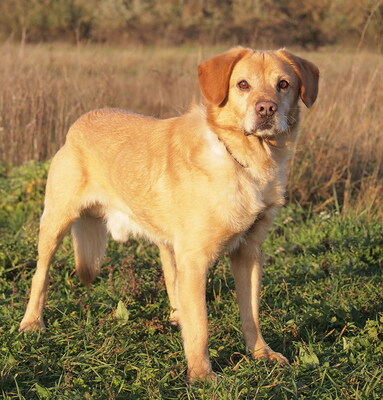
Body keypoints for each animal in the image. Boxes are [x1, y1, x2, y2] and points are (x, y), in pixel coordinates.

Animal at [19, 47, 320, 382]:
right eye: (243, 84)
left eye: (284, 84)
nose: (266, 108)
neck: (247, 161)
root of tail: (81, 121)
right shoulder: (196, 259)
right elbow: (201, 325)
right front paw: (201, 375)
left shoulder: (249, 253)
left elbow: (251, 312)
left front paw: (261, 353)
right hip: (55, 223)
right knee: (40, 274)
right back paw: (31, 322)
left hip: (166, 238)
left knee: (171, 276)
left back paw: (177, 316)